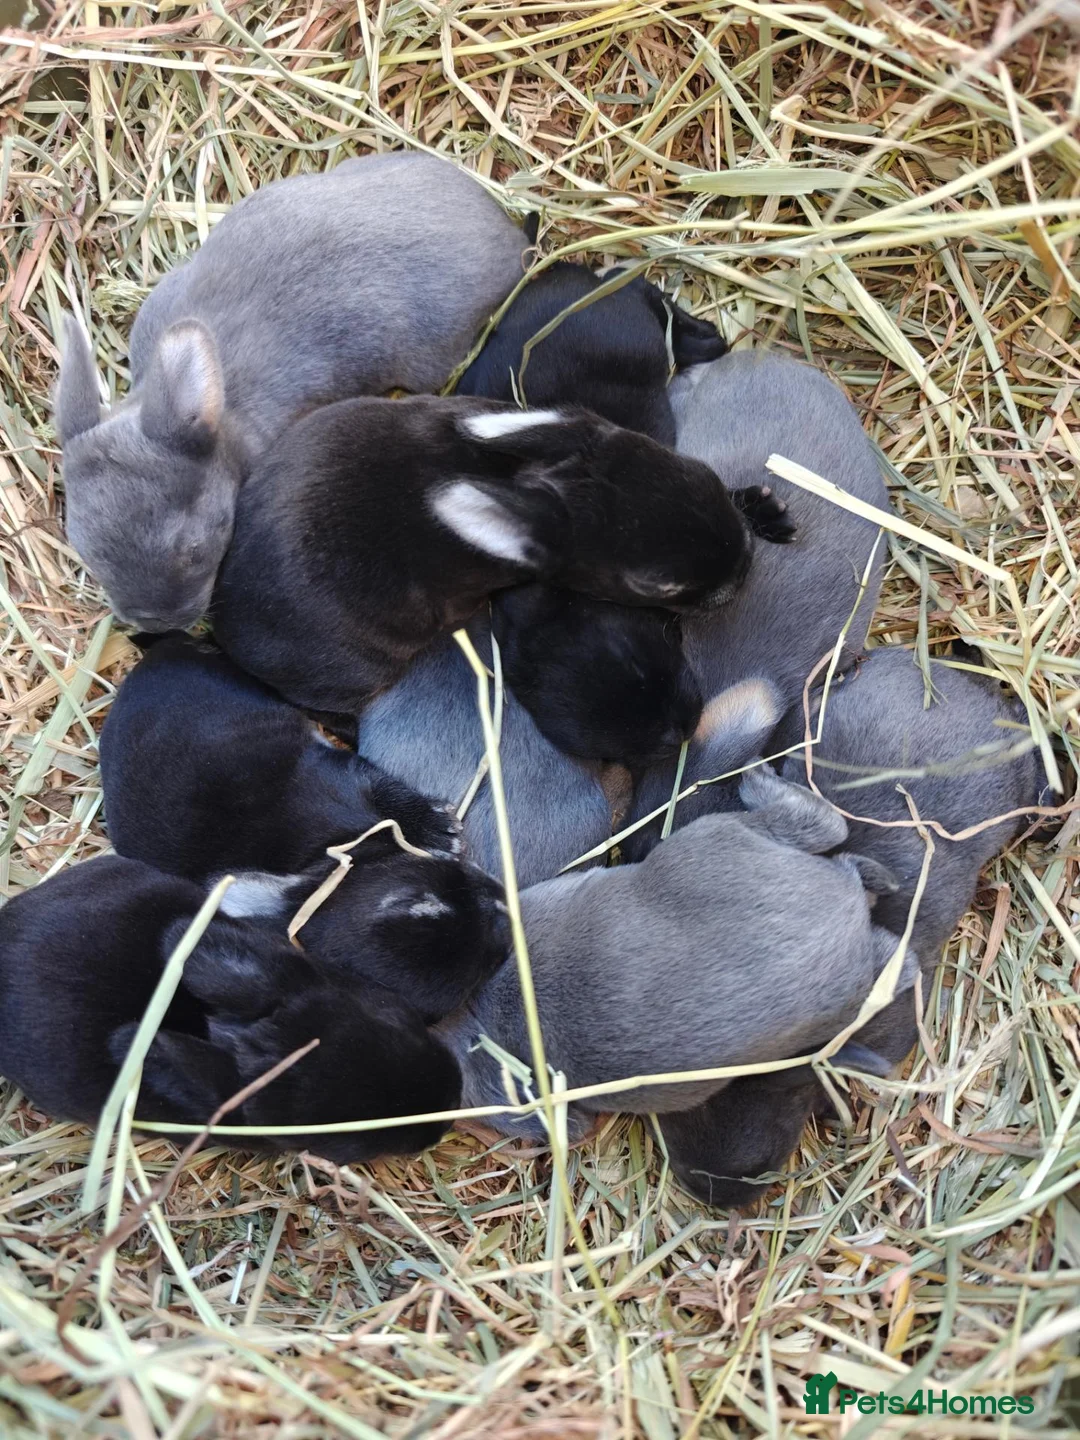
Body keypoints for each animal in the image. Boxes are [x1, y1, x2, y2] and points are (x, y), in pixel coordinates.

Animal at [98, 633, 511, 1021]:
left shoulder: (347, 774)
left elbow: (386, 791)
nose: (501, 900)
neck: (328, 855)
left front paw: (436, 826)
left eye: (418, 901)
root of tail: (155, 655)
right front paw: (440, 832)